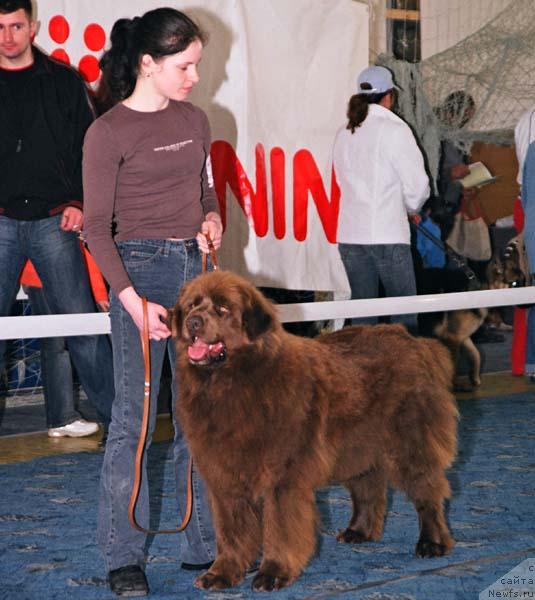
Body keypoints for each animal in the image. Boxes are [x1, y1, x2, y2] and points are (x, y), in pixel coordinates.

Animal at [174, 270, 458, 592]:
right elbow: (231, 530)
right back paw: (359, 531)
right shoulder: (224, 477)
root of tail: (416, 342)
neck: (233, 383)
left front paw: (273, 572)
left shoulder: (281, 478)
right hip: (357, 445)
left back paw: (432, 543)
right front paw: (222, 573)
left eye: (223, 309)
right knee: (368, 485)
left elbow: (280, 528)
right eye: (192, 305)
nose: (193, 322)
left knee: (427, 490)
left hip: (409, 441)